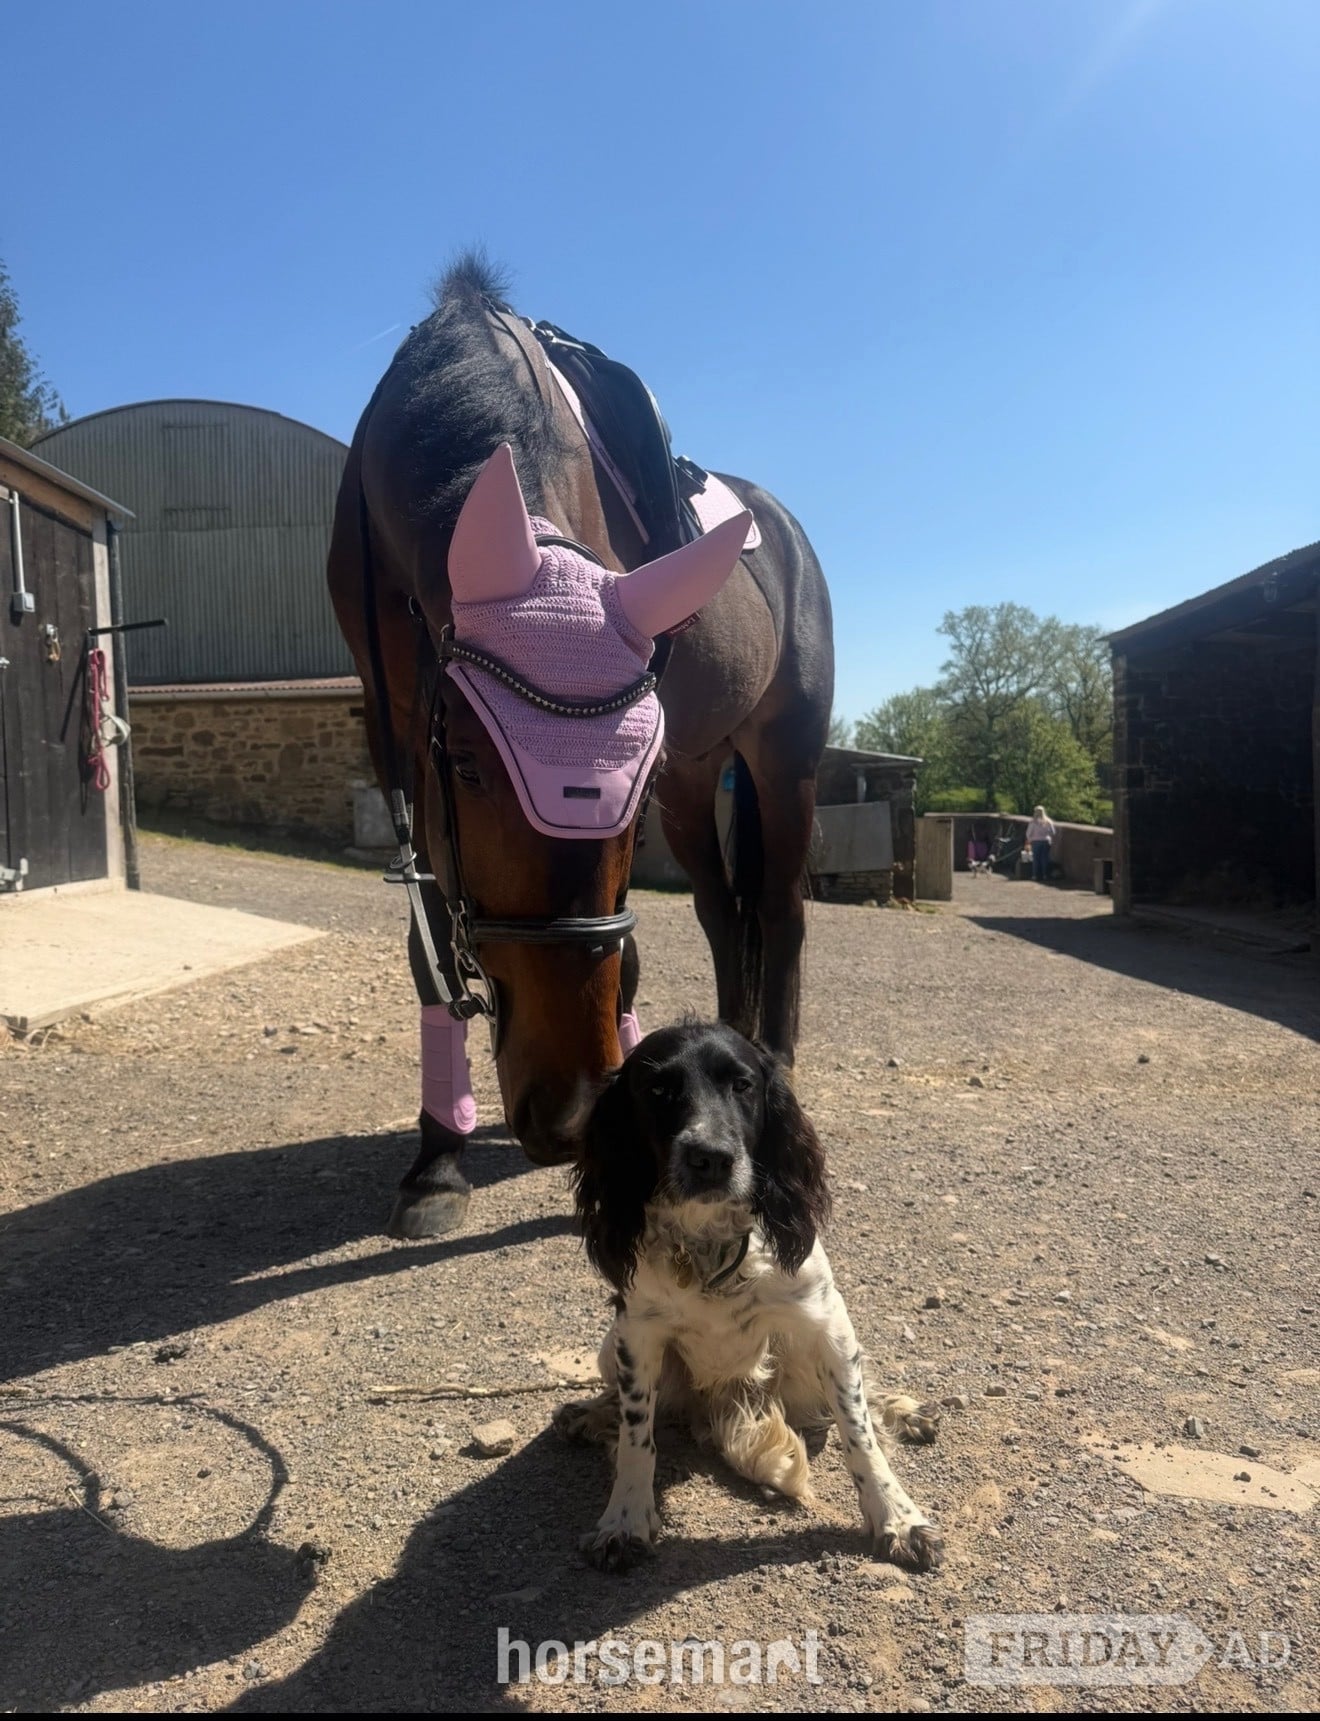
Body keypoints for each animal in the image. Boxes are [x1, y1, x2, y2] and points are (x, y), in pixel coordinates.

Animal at [327, 255, 834, 1239]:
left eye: (627, 780)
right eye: (468, 763)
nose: (567, 1108)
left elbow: (624, 953)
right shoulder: (394, 722)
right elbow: (429, 945)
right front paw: (437, 1159)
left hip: (783, 757)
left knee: (779, 911)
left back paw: (772, 1065)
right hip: (697, 784)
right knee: (725, 916)